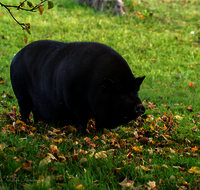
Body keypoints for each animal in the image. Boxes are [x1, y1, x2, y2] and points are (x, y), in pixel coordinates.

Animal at [10, 40, 145, 132]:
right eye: (119, 93)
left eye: (135, 91)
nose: (139, 106)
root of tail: (16, 56)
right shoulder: (77, 106)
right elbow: (82, 122)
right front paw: (83, 134)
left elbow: (99, 124)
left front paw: (100, 134)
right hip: (21, 93)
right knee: (24, 110)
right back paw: (27, 125)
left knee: (34, 112)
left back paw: (36, 124)